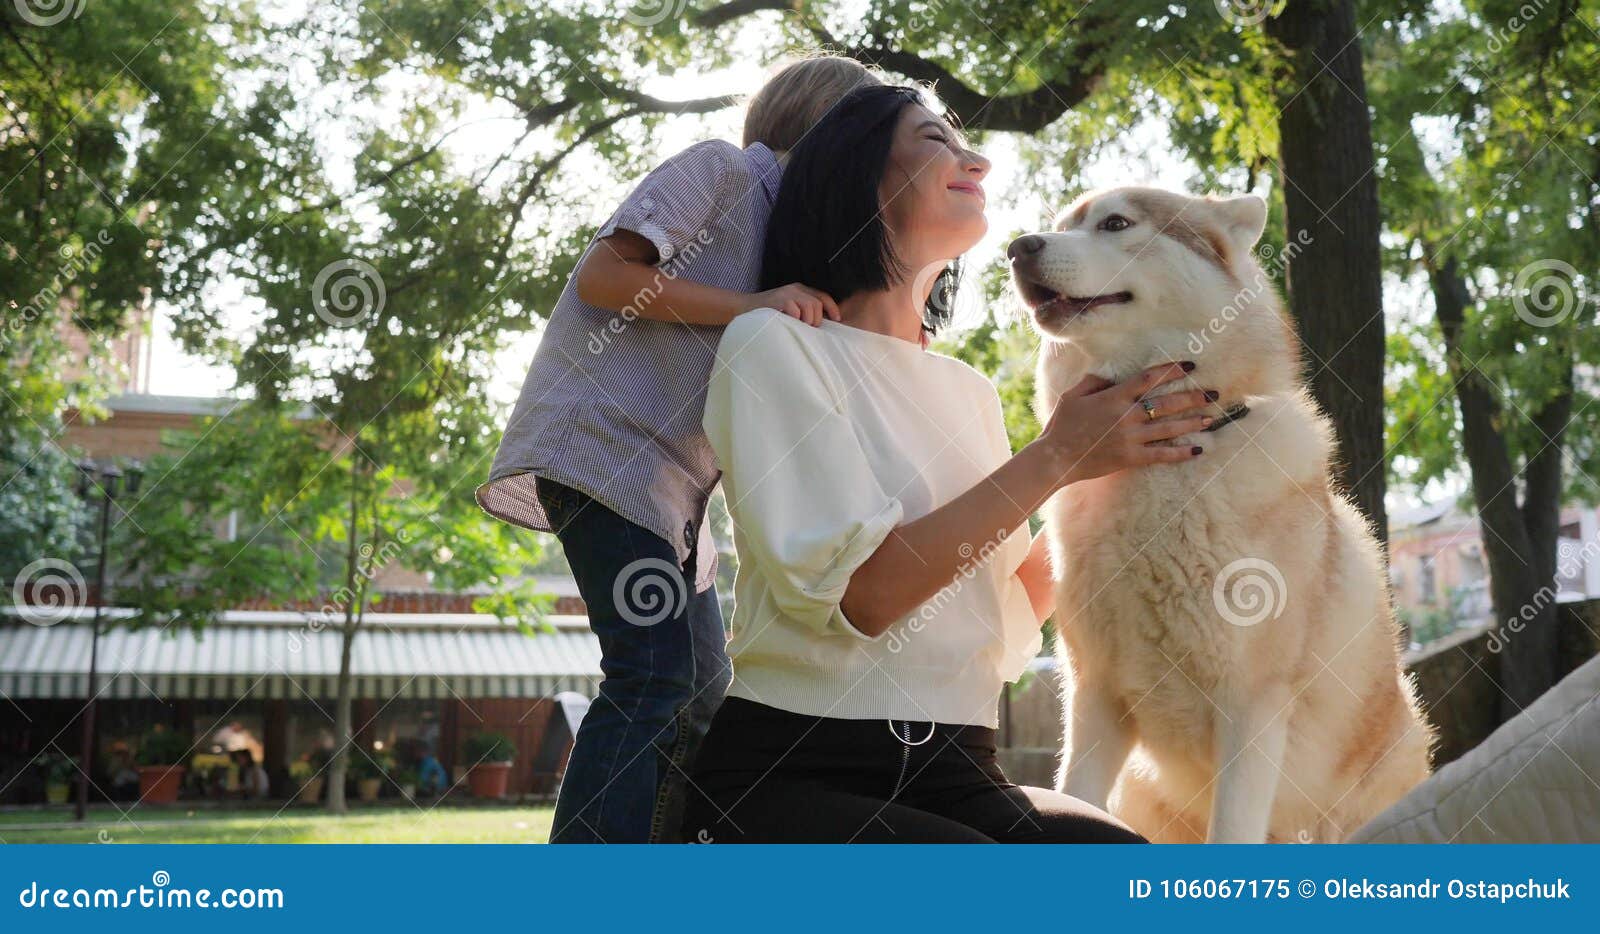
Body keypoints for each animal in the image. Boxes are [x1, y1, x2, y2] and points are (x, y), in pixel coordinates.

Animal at [1004, 186, 1433, 844]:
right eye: (1060, 225)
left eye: (1115, 223)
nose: (1017, 247)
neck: (1161, 465)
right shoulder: (1095, 696)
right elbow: (1074, 796)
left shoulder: (1251, 709)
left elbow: (1231, 829)